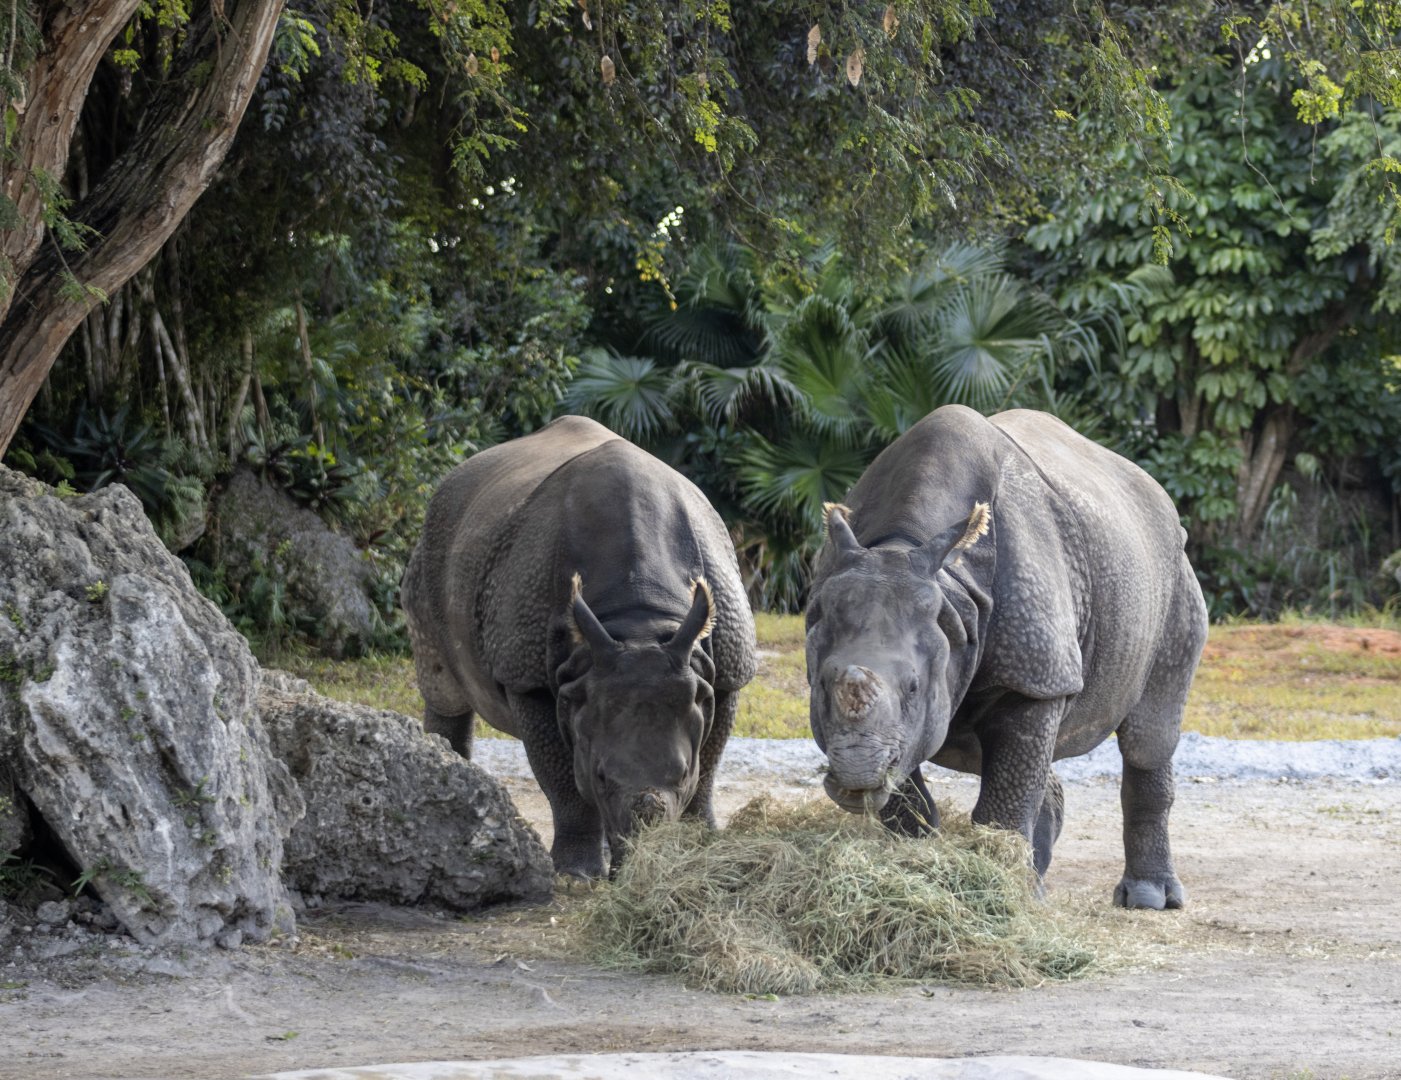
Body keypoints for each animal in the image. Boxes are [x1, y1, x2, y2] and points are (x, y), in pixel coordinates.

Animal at [401, 416, 757, 878]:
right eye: (600, 776)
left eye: (680, 774)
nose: (638, 863)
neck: (638, 622)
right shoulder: (526, 676)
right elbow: (564, 781)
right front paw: (576, 875)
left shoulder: (723, 670)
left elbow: (708, 769)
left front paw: (704, 845)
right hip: (433, 545)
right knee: (443, 686)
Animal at [806, 405, 1207, 909]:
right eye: (823, 684)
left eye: (914, 688)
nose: (857, 773)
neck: (903, 547)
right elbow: (910, 796)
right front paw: (919, 864)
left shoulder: (1035, 675)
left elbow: (1003, 802)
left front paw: (1000, 891)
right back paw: (1041, 883)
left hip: (1173, 578)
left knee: (1148, 735)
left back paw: (1147, 899)